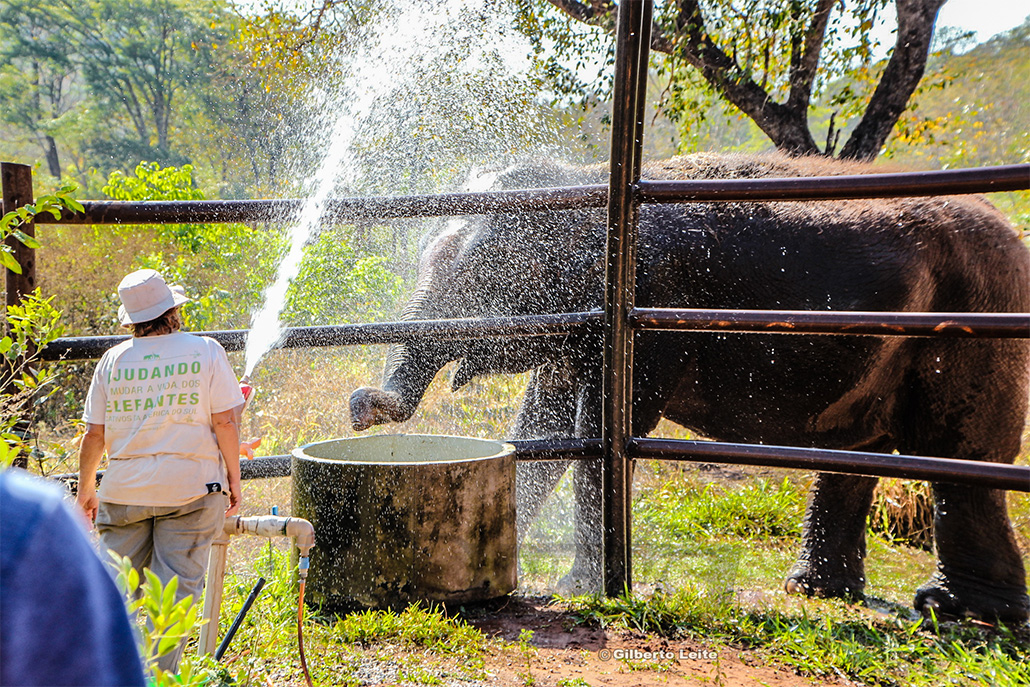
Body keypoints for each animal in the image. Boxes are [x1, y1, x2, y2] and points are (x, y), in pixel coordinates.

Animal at [349, 152, 1030, 623]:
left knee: (960, 455)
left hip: (976, 324)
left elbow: (601, 424)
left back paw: (957, 611)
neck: (589, 181)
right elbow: (544, 427)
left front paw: (581, 587)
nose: (362, 409)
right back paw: (814, 591)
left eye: (481, 281)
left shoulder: (653, 306)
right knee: (855, 455)